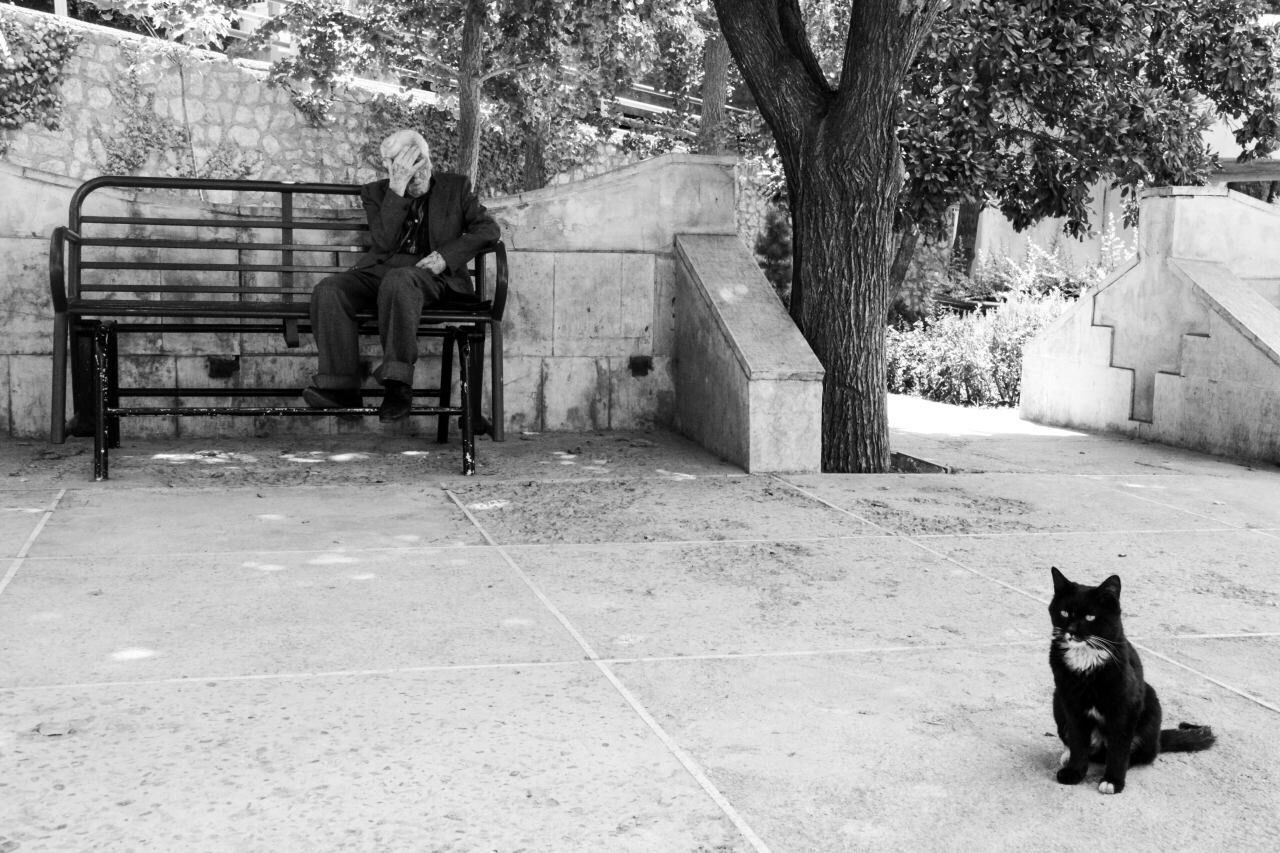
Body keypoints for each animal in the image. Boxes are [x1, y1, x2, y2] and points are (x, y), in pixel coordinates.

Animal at [1044, 563, 1213, 788]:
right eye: (1064, 613)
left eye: (1090, 617)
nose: (1071, 631)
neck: (1086, 659)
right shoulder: (1071, 702)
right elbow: (1078, 741)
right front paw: (1074, 772)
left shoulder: (1125, 705)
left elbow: (1119, 746)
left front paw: (1113, 781)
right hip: (1057, 700)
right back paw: (1068, 756)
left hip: (1150, 702)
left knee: (1143, 754)